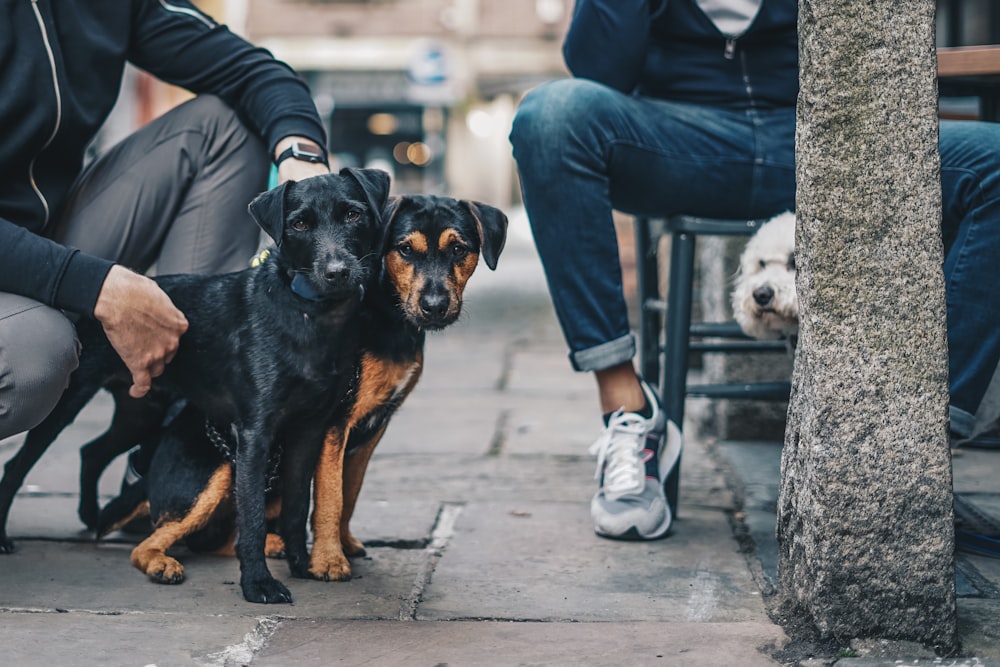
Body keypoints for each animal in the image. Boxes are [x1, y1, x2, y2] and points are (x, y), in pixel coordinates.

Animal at [0, 168, 390, 604]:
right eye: (300, 224)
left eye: (353, 214)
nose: (337, 271)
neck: (309, 314)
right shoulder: (255, 435)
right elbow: (253, 518)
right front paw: (258, 583)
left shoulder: (308, 431)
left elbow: (294, 506)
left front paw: (302, 564)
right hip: (70, 400)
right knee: (19, 464)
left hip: (142, 411)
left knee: (92, 451)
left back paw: (91, 516)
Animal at [95, 193, 508, 584]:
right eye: (405, 249)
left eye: (459, 249)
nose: (435, 306)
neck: (384, 311)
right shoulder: (334, 423)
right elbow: (329, 497)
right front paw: (328, 560)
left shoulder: (372, 429)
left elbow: (350, 491)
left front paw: (343, 544)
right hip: (217, 474)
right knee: (159, 540)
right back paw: (162, 563)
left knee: (226, 536)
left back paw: (272, 544)